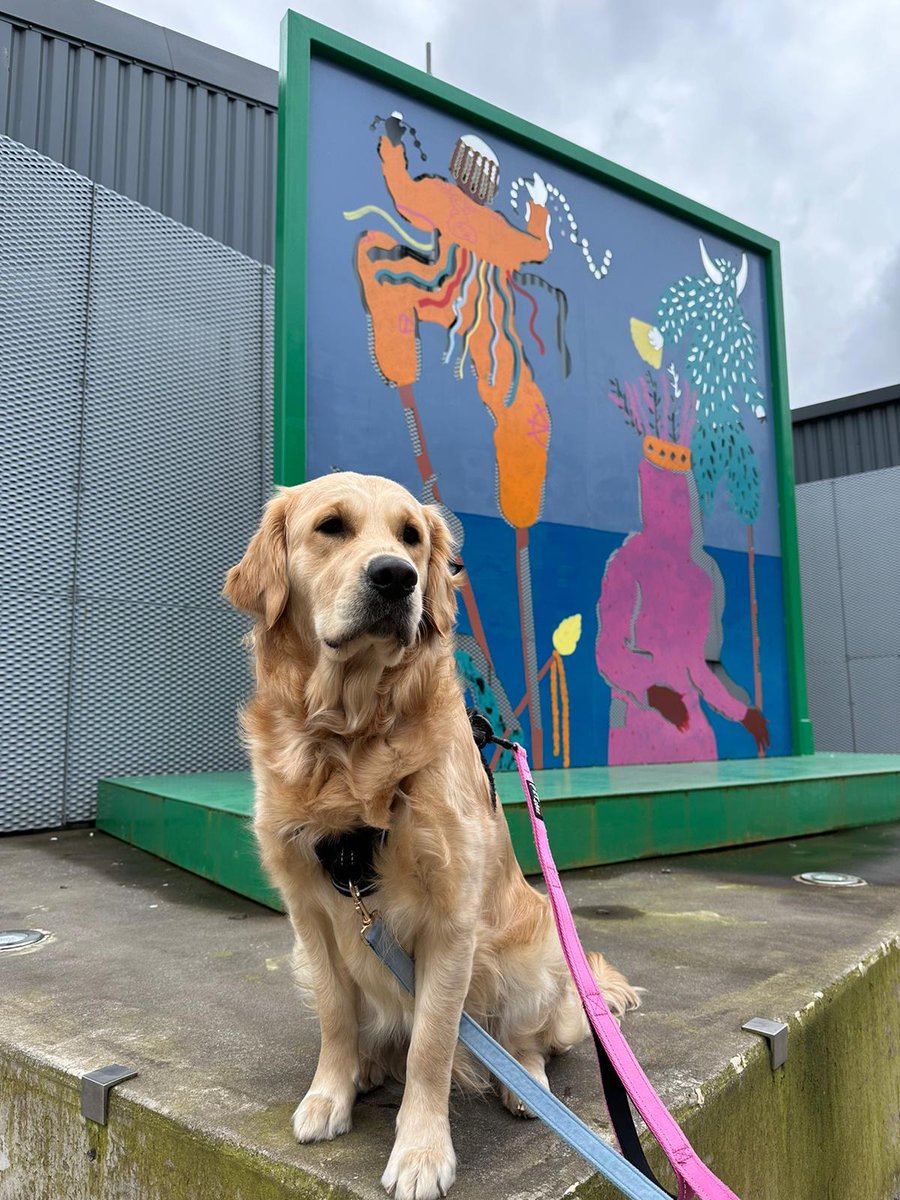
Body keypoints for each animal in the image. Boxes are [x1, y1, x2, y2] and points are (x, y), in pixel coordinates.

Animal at [224, 472, 633, 1200]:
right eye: (331, 526)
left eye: (411, 536)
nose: (397, 576)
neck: (350, 737)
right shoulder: (309, 916)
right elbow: (336, 1015)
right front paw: (329, 1094)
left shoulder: (451, 923)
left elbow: (434, 1047)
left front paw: (420, 1150)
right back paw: (366, 1066)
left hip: (535, 954)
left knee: (524, 1040)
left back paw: (524, 1084)